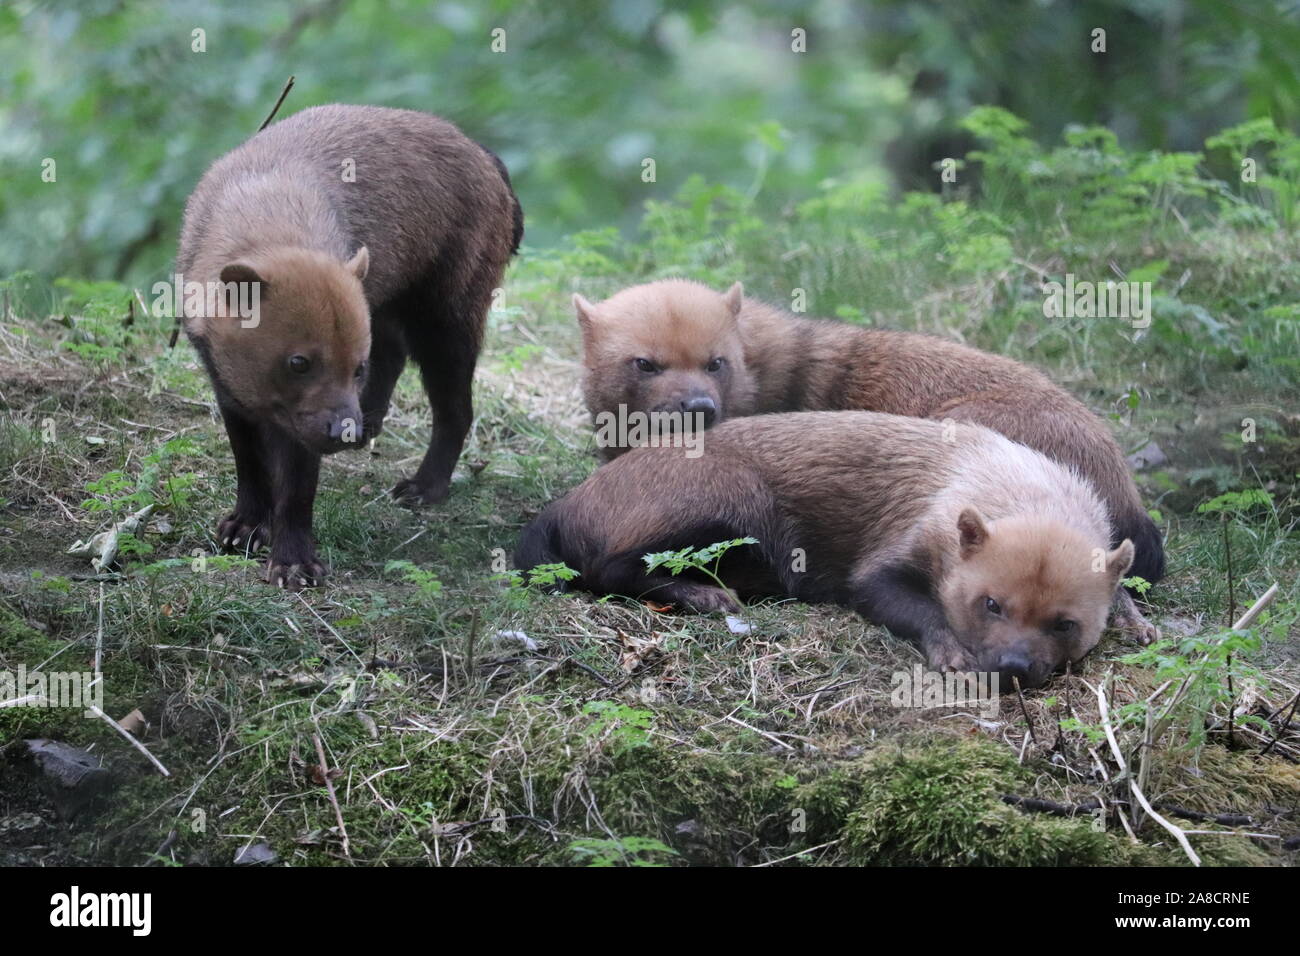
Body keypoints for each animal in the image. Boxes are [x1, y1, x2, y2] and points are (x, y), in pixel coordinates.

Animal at [179, 102, 522, 582]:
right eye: (298, 362)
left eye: (354, 367)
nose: (345, 431)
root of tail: (487, 157)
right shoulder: (228, 385)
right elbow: (248, 461)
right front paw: (243, 527)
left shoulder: (304, 422)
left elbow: (297, 488)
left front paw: (295, 563)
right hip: (389, 303)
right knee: (395, 356)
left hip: (447, 319)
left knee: (455, 408)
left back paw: (423, 487)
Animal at [517, 411, 1159, 686]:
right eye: (991, 603)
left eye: (1065, 623)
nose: (1015, 669)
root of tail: (567, 503)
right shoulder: (886, 561)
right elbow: (912, 604)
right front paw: (951, 653)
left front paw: (1137, 621)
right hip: (731, 501)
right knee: (610, 566)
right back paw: (704, 596)